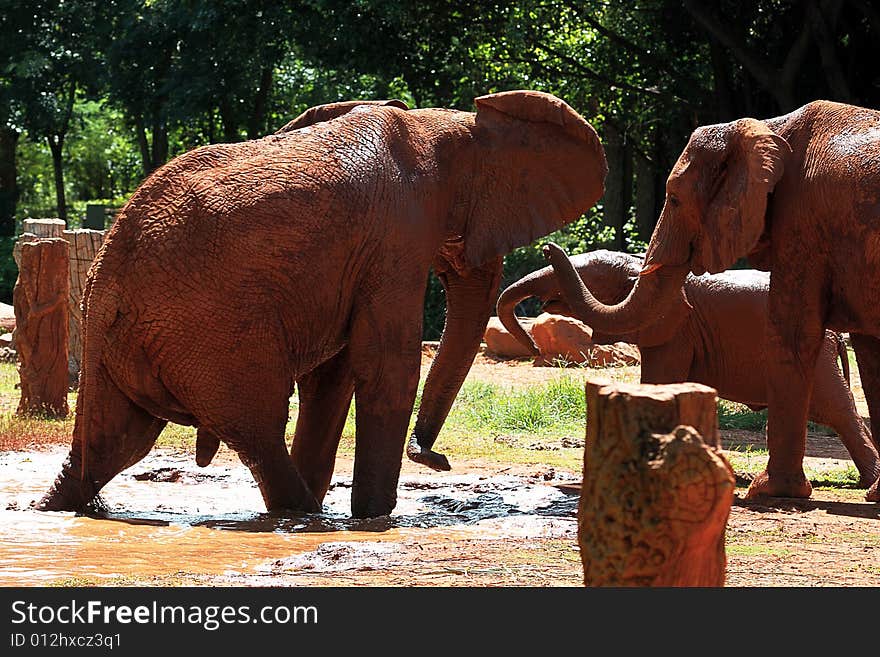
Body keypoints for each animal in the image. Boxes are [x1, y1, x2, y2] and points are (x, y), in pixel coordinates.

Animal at [544, 100, 880, 500]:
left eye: (674, 198)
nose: (549, 247)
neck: (767, 126)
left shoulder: (803, 224)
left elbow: (791, 333)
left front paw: (768, 493)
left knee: (838, 409)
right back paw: (872, 490)